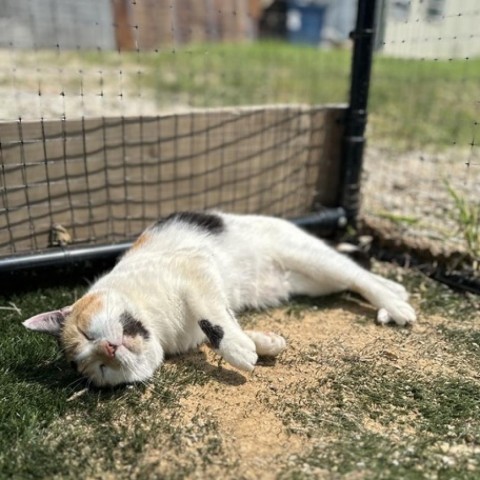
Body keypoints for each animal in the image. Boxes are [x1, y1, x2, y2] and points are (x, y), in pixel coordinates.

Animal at [21, 210, 416, 386]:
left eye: (88, 334)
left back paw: (395, 304)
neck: (162, 328)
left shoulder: (195, 268)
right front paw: (264, 343)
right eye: (100, 368)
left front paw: (239, 351)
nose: (108, 349)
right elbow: (225, 318)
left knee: (357, 275)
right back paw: (394, 294)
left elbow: (211, 317)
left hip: (310, 258)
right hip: (312, 282)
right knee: (354, 278)